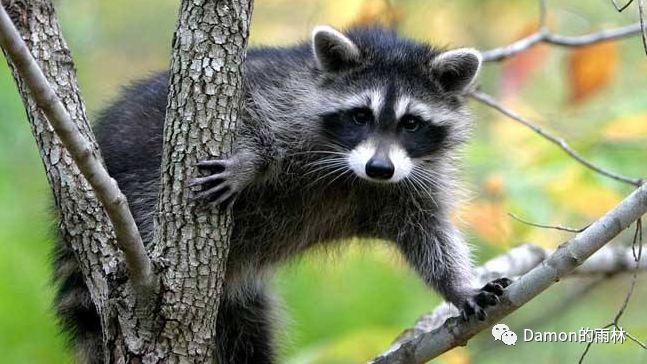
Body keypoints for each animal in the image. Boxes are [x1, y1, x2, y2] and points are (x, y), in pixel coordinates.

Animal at [54, 25, 512, 364]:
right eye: (360, 116)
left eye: (411, 123)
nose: (379, 168)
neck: (353, 173)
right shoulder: (282, 95)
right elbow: (250, 111)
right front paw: (250, 162)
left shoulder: (411, 182)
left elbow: (427, 234)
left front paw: (458, 286)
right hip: (140, 180)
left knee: (247, 334)